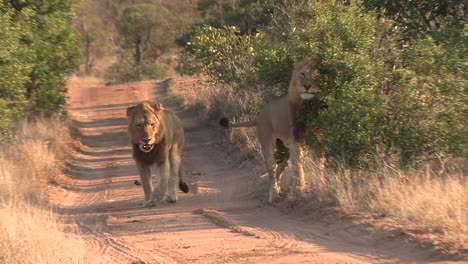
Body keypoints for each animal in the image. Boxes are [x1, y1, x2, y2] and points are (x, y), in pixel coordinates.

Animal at [220, 57, 322, 202]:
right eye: (302, 74)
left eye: (317, 76)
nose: (306, 86)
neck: (309, 105)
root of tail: (259, 115)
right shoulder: (295, 140)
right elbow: (298, 167)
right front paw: (299, 190)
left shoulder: (319, 142)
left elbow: (320, 165)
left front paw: (323, 183)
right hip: (267, 142)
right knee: (271, 169)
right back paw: (273, 195)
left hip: (283, 150)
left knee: (279, 168)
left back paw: (279, 190)